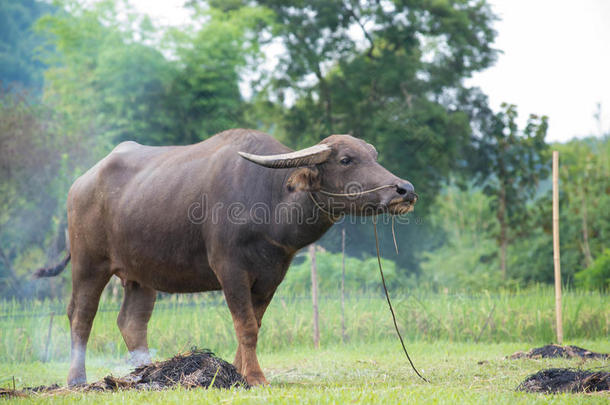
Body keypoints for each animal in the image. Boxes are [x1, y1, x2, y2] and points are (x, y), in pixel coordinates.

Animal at [33, 129, 414, 386]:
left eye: (374, 156)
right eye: (346, 159)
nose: (405, 189)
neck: (270, 199)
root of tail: (80, 183)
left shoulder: (272, 274)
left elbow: (254, 324)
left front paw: (240, 372)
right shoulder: (229, 268)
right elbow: (244, 324)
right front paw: (256, 377)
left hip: (140, 274)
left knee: (131, 321)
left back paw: (143, 372)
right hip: (89, 264)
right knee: (81, 315)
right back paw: (77, 379)